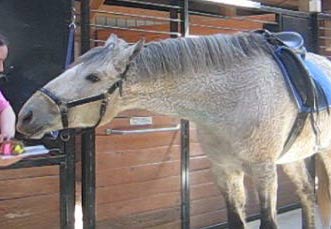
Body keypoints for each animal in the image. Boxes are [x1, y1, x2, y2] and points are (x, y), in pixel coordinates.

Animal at [16, 32, 331, 229]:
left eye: (93, 77)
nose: (26, 114)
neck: (234, 96)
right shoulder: (225, 170)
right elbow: (235, 220)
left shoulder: (263, 169)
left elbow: (268, 222)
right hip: (292, 157)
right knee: (306, 193)